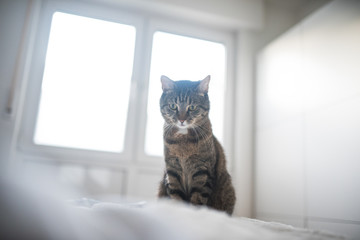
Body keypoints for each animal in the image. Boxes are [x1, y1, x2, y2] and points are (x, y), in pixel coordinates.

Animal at [158, 75, 236, 216]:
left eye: (192, 107)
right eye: (173, 106)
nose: (181, 120)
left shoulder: (202, 170)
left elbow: (198, 198)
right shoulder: (172, 170)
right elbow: (176, 195)